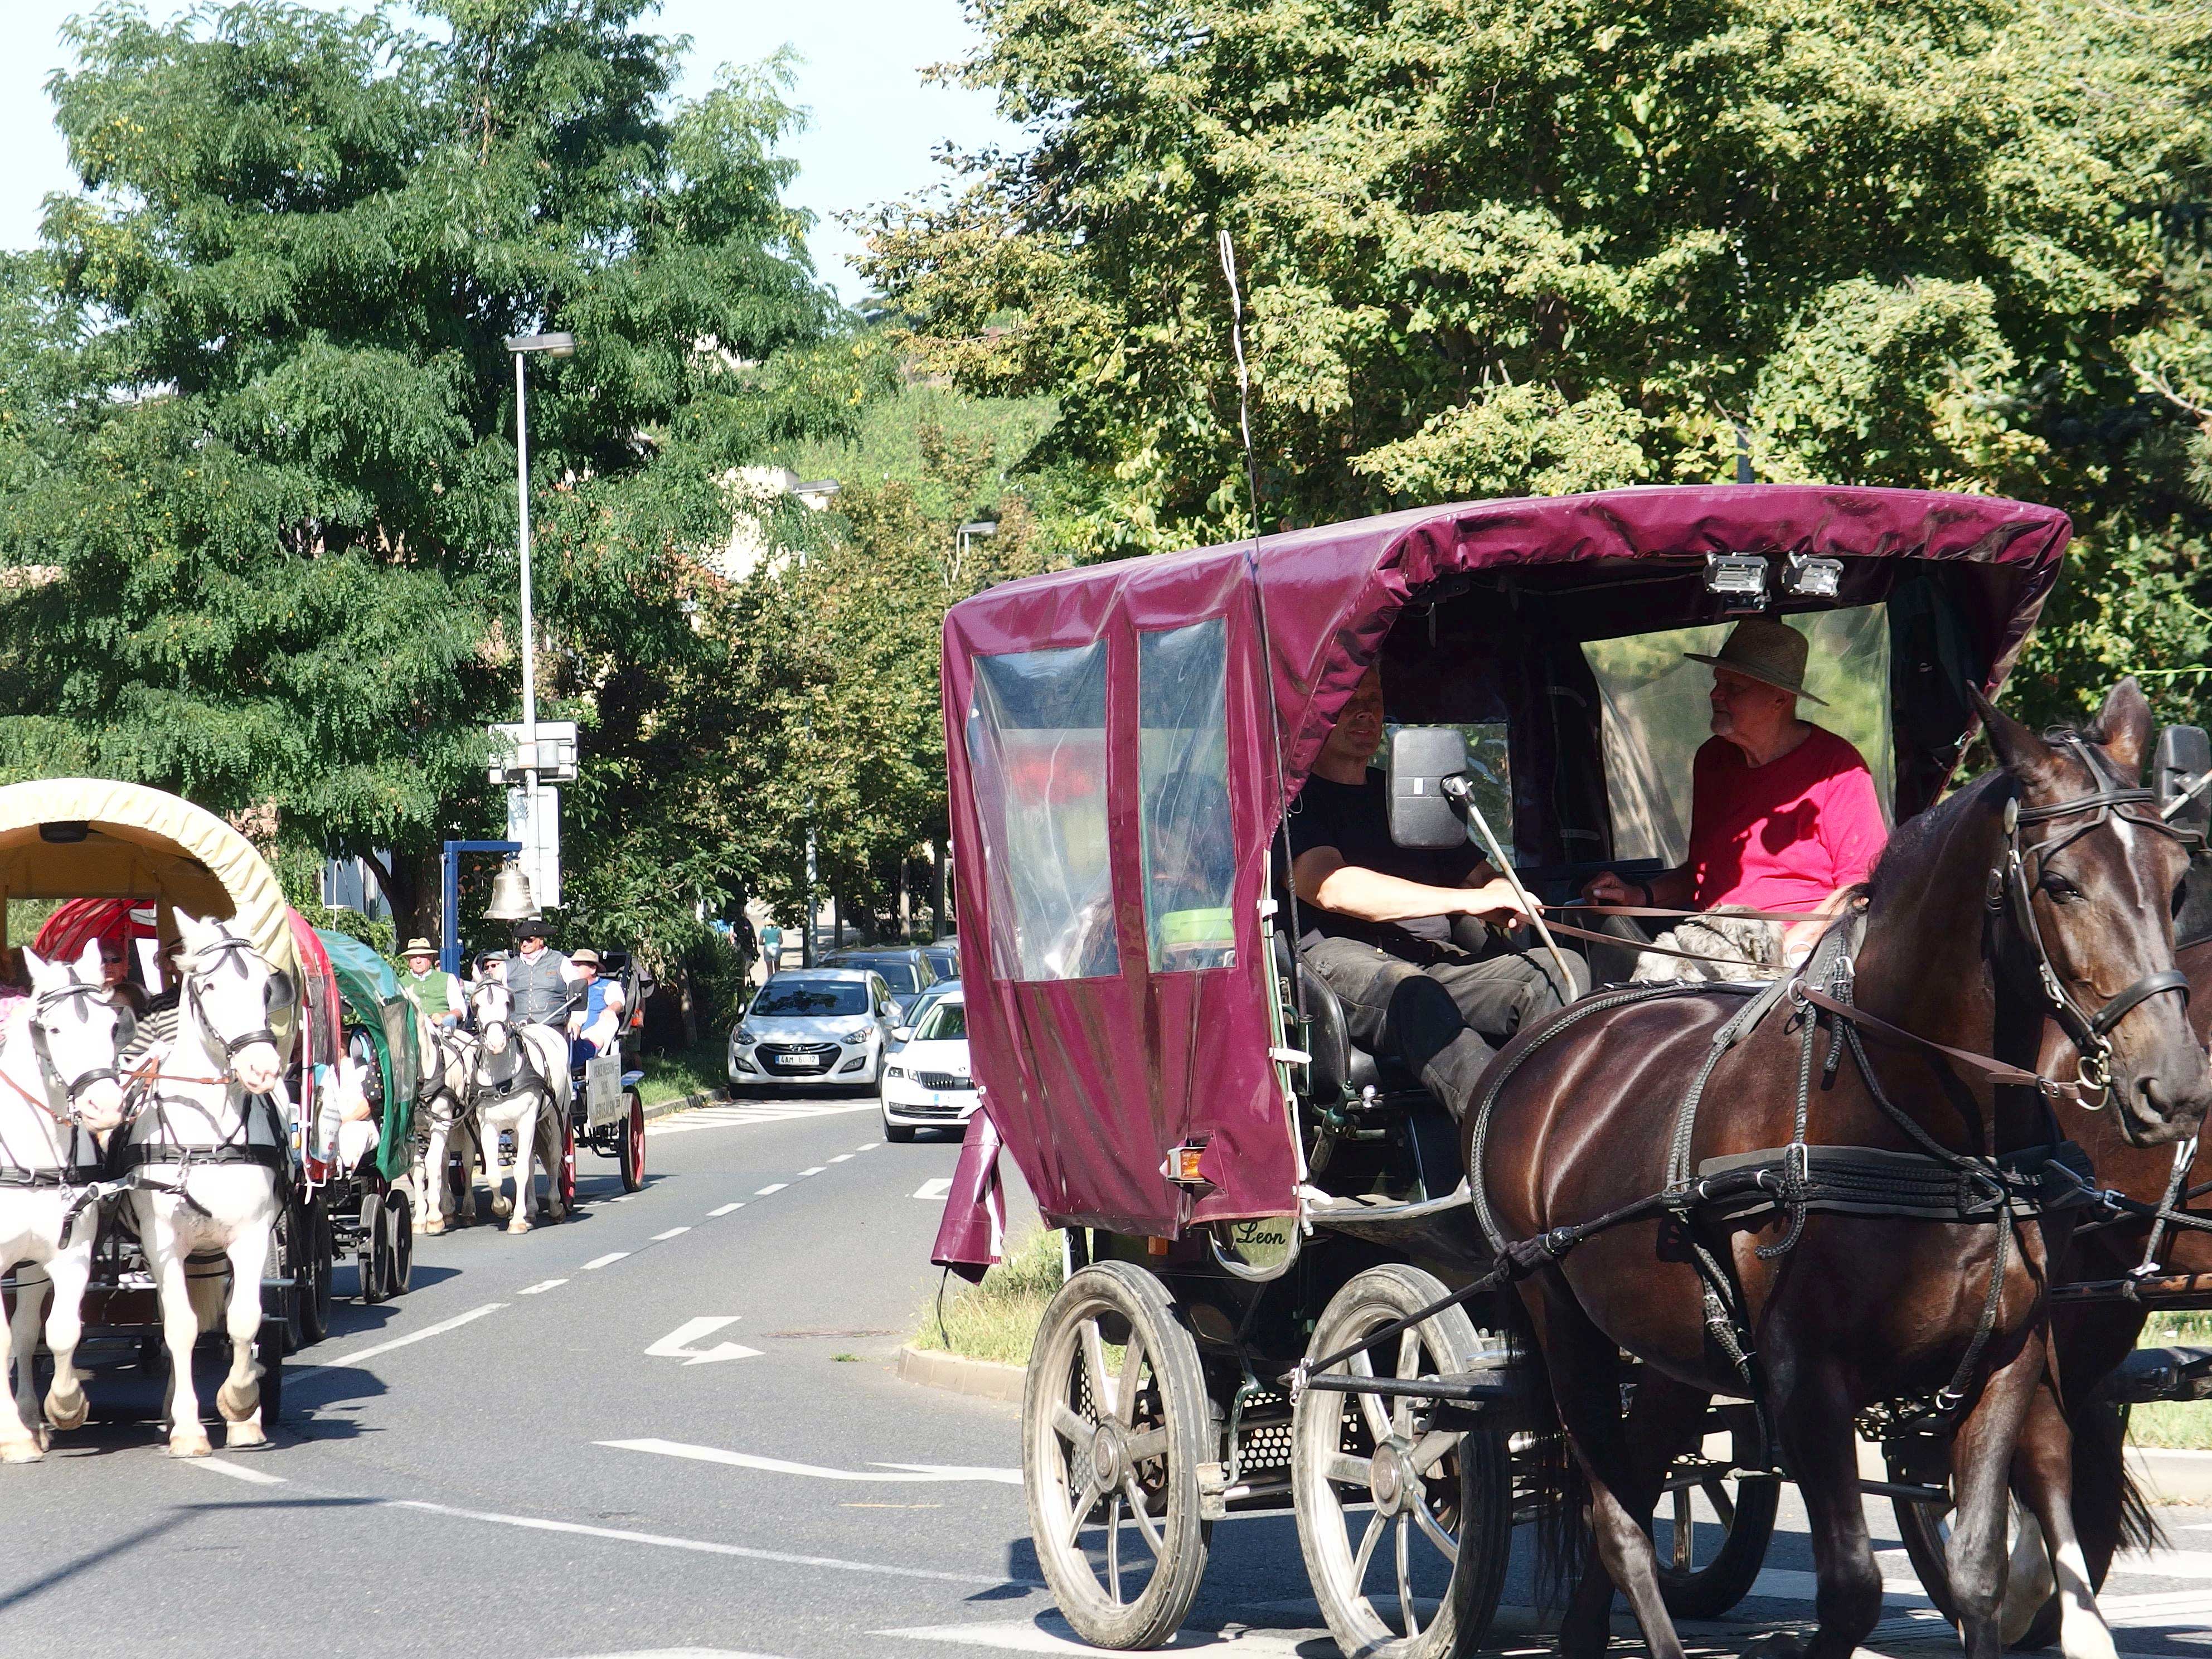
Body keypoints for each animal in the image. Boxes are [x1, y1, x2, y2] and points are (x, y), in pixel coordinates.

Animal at [123, 915, 294, 1459]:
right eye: (211, 986)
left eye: (265, 987)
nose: (263, 1069)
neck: (209, 1131)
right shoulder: (163, 1242)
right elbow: (181, 1328)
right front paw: (189, 1429)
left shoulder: (251, 1235)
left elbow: (243, 1321)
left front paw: (241, 1408)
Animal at [469, 982, 570, 1239]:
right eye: (477, 1005)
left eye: (507, 1002)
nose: (496, 1044)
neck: (502, 1078)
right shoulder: (489, 1127)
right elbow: (495, 1174)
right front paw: (504, 1207)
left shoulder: (527, 1121)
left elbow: (522, 1170)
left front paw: (517, 1222)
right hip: (517, 1130)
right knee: (532, 1161)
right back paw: (532, 1210)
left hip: (557, 1116)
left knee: (554, 1156)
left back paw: (556, 1206)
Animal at [1468, 677, 2212, 1659]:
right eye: (2059, 882)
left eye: (2175, 882)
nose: (2177, 1084)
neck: (1933, 1137)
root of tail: (1562, 1032)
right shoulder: (1807, 1378)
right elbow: (1853, 1589)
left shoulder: (2006, 1361)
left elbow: (1977, 1571)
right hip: (1560, 1319)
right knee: (1616, 1522)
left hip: (1670, 1342)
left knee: (1635, 1484)